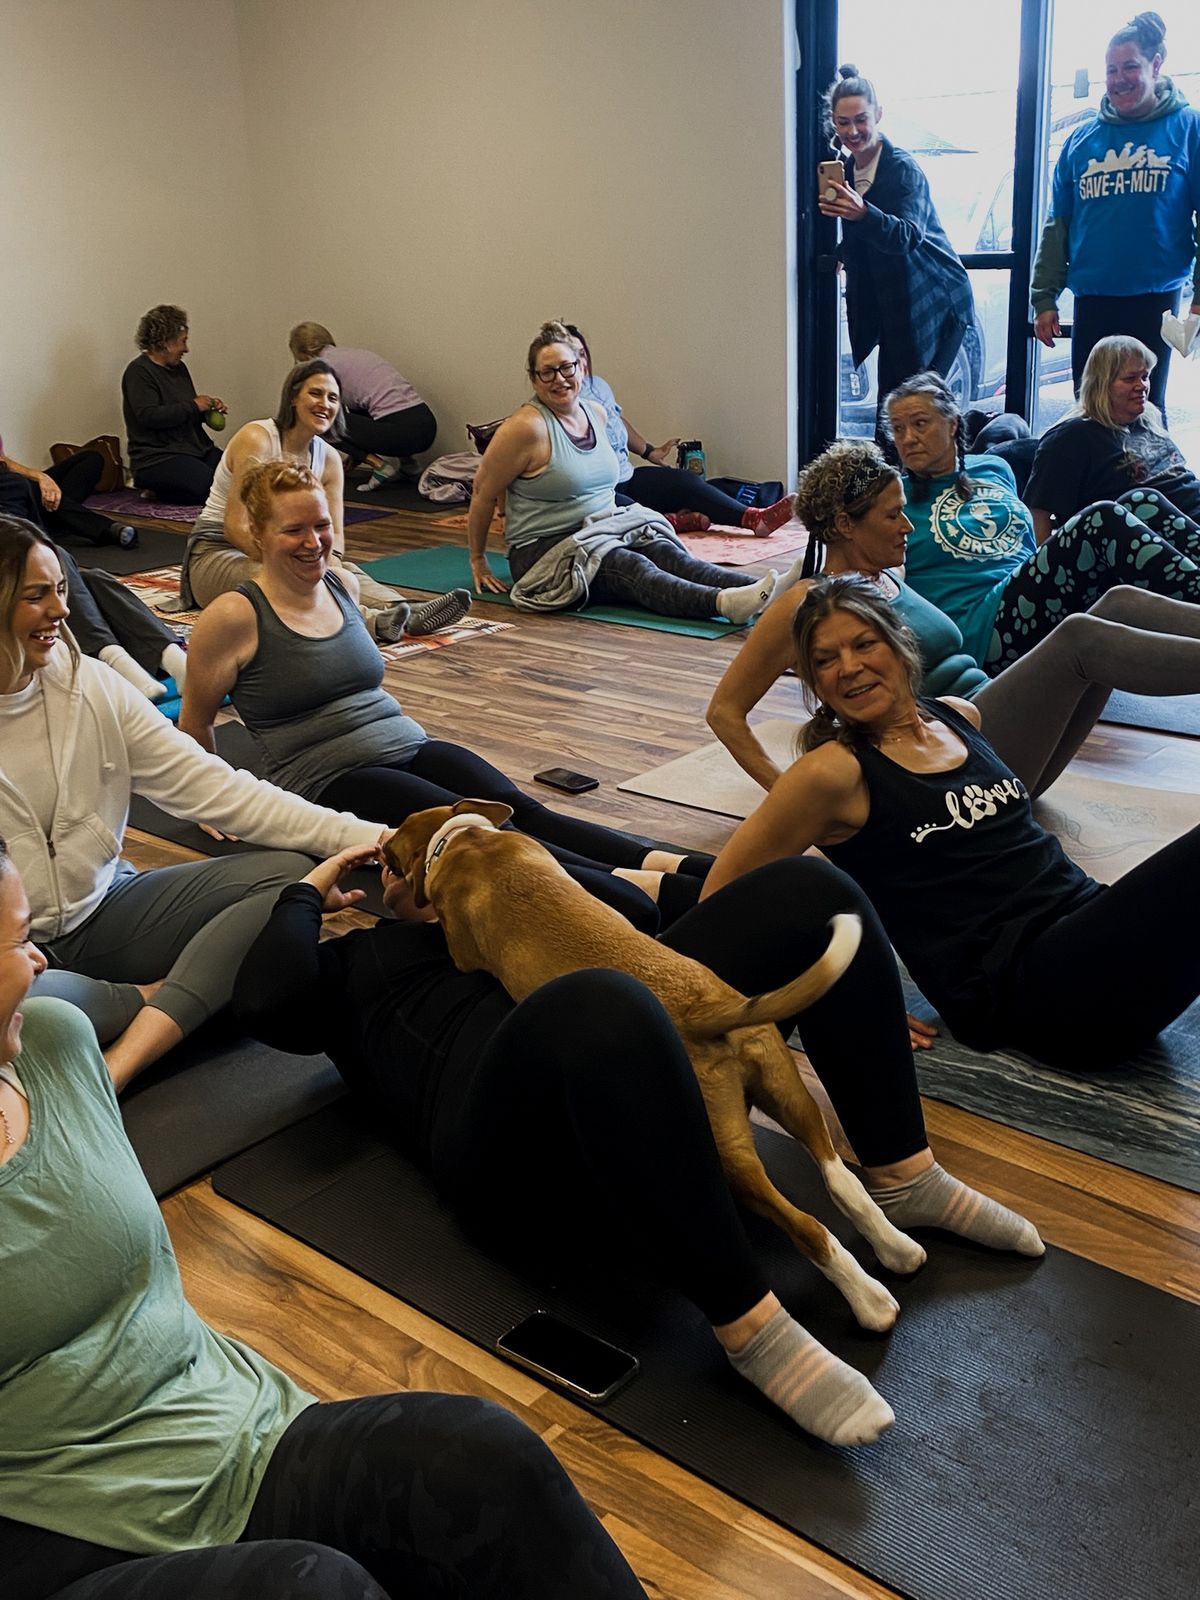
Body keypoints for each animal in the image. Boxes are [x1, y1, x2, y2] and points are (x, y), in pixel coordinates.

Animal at [380, 800, 928, 1324]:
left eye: (393, 846)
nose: (380, 850)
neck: (468, 841)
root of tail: (708, 1011)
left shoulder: (460, 948)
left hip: (727, 1152)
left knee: (809, 1227)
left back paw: (870, 1302)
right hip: (786, 1089)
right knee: (842, 1180)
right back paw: (897, 1250)